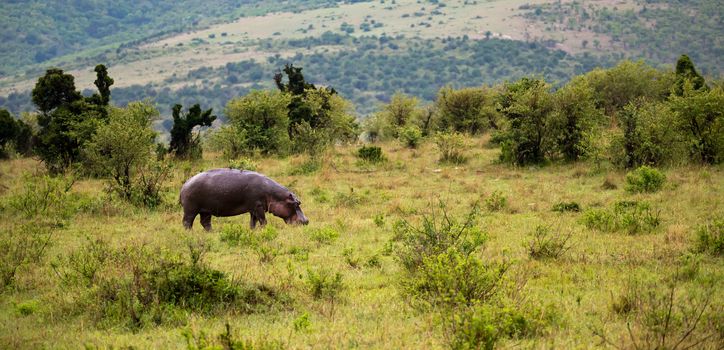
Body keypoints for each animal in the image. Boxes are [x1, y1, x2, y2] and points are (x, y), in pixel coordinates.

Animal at [180, 169, 308, 231]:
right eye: (296, 204)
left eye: (299, 202)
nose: (306, 221)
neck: (275, 195)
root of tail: (185, 184)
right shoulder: (258, 206)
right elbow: (263, 220)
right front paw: (264, 230)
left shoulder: (253, 208)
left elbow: (253, 221)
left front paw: (252, 231)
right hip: (191, 209)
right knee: (187, 222)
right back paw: (190, 234)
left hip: (206, 210)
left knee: (205, 222)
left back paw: (212, 232)